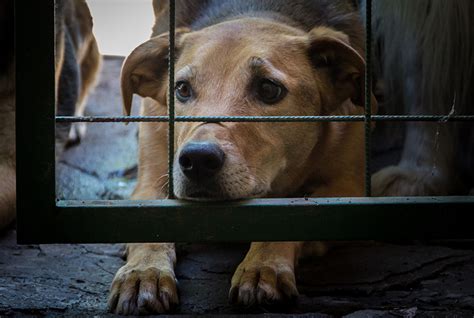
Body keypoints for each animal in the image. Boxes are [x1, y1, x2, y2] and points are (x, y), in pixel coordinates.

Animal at [108, 0, 378, 314]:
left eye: (269, 89)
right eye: (182, 89)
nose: (197, 160)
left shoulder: (349, 190)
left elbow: (295, 214)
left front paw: (263, 266)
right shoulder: (151, 181)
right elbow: (149, 225)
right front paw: (143, 272)